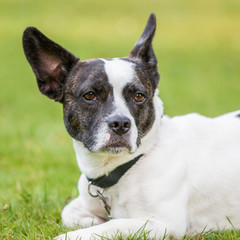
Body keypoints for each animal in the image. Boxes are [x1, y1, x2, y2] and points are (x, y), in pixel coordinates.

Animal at [22, 13, 240, 240]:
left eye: (139, 96)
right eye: (89, 95)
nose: (120, 124)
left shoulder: (161, 224)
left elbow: (113, 224)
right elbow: (69, 212)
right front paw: (91, 220)